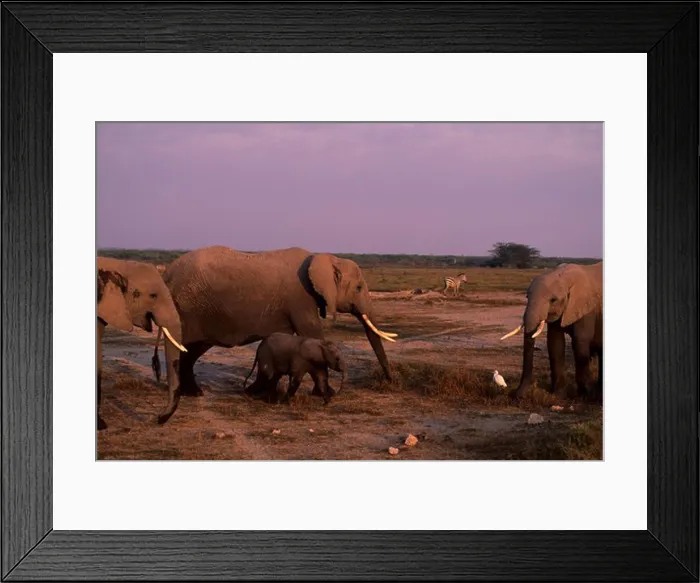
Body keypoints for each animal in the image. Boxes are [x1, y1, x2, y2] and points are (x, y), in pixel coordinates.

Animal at [154, 246, 396, 397]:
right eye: (358, 288)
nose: (391, 381)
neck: (324, 259)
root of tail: (166, 273)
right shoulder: (301, 299)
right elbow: (312, 334)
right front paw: (322, 395)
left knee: (192, 349)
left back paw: (192, 393)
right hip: (189, 307)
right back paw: (189, 393)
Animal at [500, 262, 602, 400]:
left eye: (553, 300)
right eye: (527, 296)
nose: (516, 395)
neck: (564, 276)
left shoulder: (587, 309)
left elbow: (580, 342)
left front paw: (585, 395)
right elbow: (555, 343)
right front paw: (557, 396)